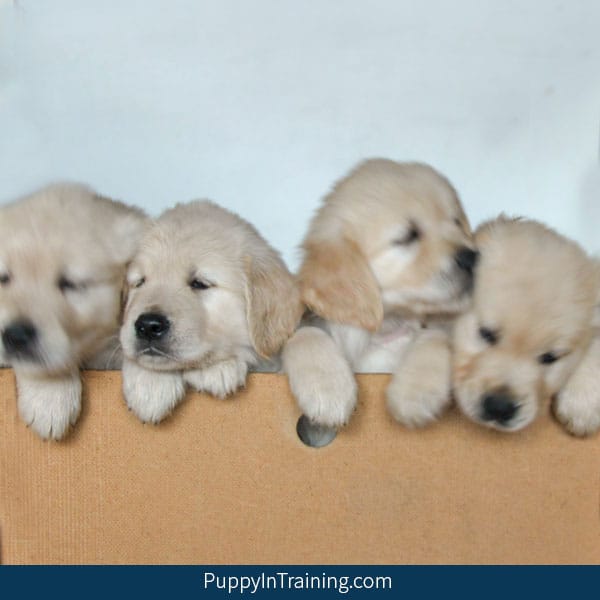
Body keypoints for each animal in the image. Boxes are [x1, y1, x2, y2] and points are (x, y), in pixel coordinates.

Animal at [282, 157, 478, 428]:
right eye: (408, 236)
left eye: (457, 222)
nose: (473, 258)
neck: (386, 330)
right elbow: (305, 333)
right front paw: (327, 389)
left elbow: (437, 337)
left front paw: (415, 391)